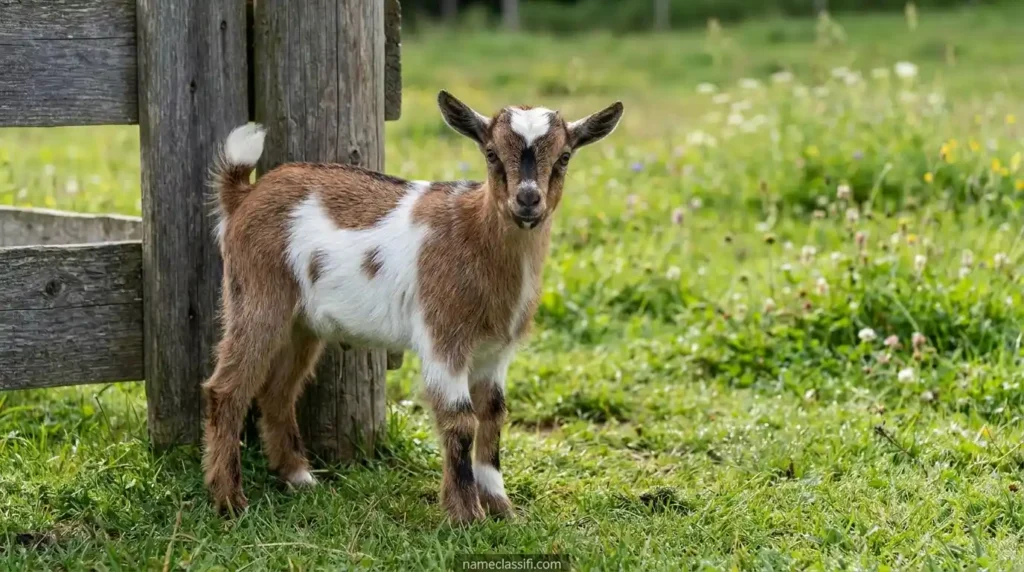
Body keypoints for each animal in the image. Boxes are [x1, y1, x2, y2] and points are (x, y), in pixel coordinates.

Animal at [202, 91, 623, 523]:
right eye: (490, 153)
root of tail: (244, 195)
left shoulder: (496, 351)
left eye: (565, 157)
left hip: (303, 323)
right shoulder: (444, 336)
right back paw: (230, 500)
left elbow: (493, 414)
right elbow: (460, 419)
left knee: (278, 390)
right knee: (227, 388)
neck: (475, 235)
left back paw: (298, 476)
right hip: (257, 296)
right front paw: (466, 515)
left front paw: (500, 506)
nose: (527, 200)